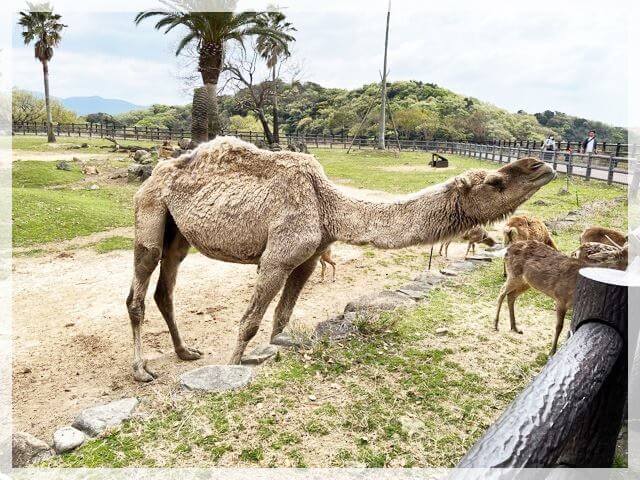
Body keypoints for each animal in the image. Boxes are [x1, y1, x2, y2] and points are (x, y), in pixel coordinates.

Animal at [125, 136, 556, 382]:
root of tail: (155, 173)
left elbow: (282, 315)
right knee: (138, 291)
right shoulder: (276, 258)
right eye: (496, 181)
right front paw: (231, 367)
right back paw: (143, 371)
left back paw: (185, 352)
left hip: (178, 235)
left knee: (165, 290)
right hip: (150, 211)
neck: (328, 206)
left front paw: (279, 344)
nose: (543, 165)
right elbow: (249, 322)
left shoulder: (310, 256)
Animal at [496, 242, 624, 354]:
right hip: (514, 274)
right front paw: (552, 352)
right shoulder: (561, 298)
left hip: (526, 282)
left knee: (511, 296)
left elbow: (571, 327)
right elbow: (559, 327)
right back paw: (496, 325)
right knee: (501, 292)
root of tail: (507, 249)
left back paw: (515, 327)